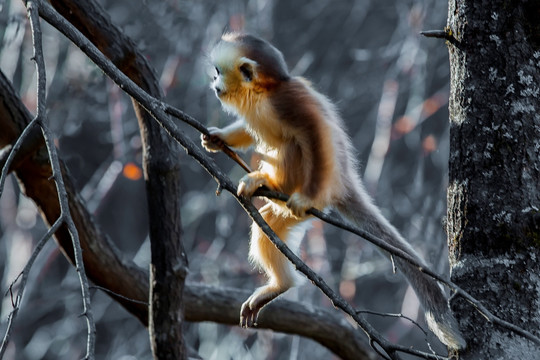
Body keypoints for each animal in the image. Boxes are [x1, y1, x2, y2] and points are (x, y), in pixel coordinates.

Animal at [200, 33, 466, 348]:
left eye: (219, 72)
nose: (214, 83)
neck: (263, 92)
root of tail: (343, 183)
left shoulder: (285, 103)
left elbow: (314, 133)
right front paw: (218, 138)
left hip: (317, 188)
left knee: (293, 145)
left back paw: (270, 185)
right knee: (270, 225)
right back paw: (280, 284)